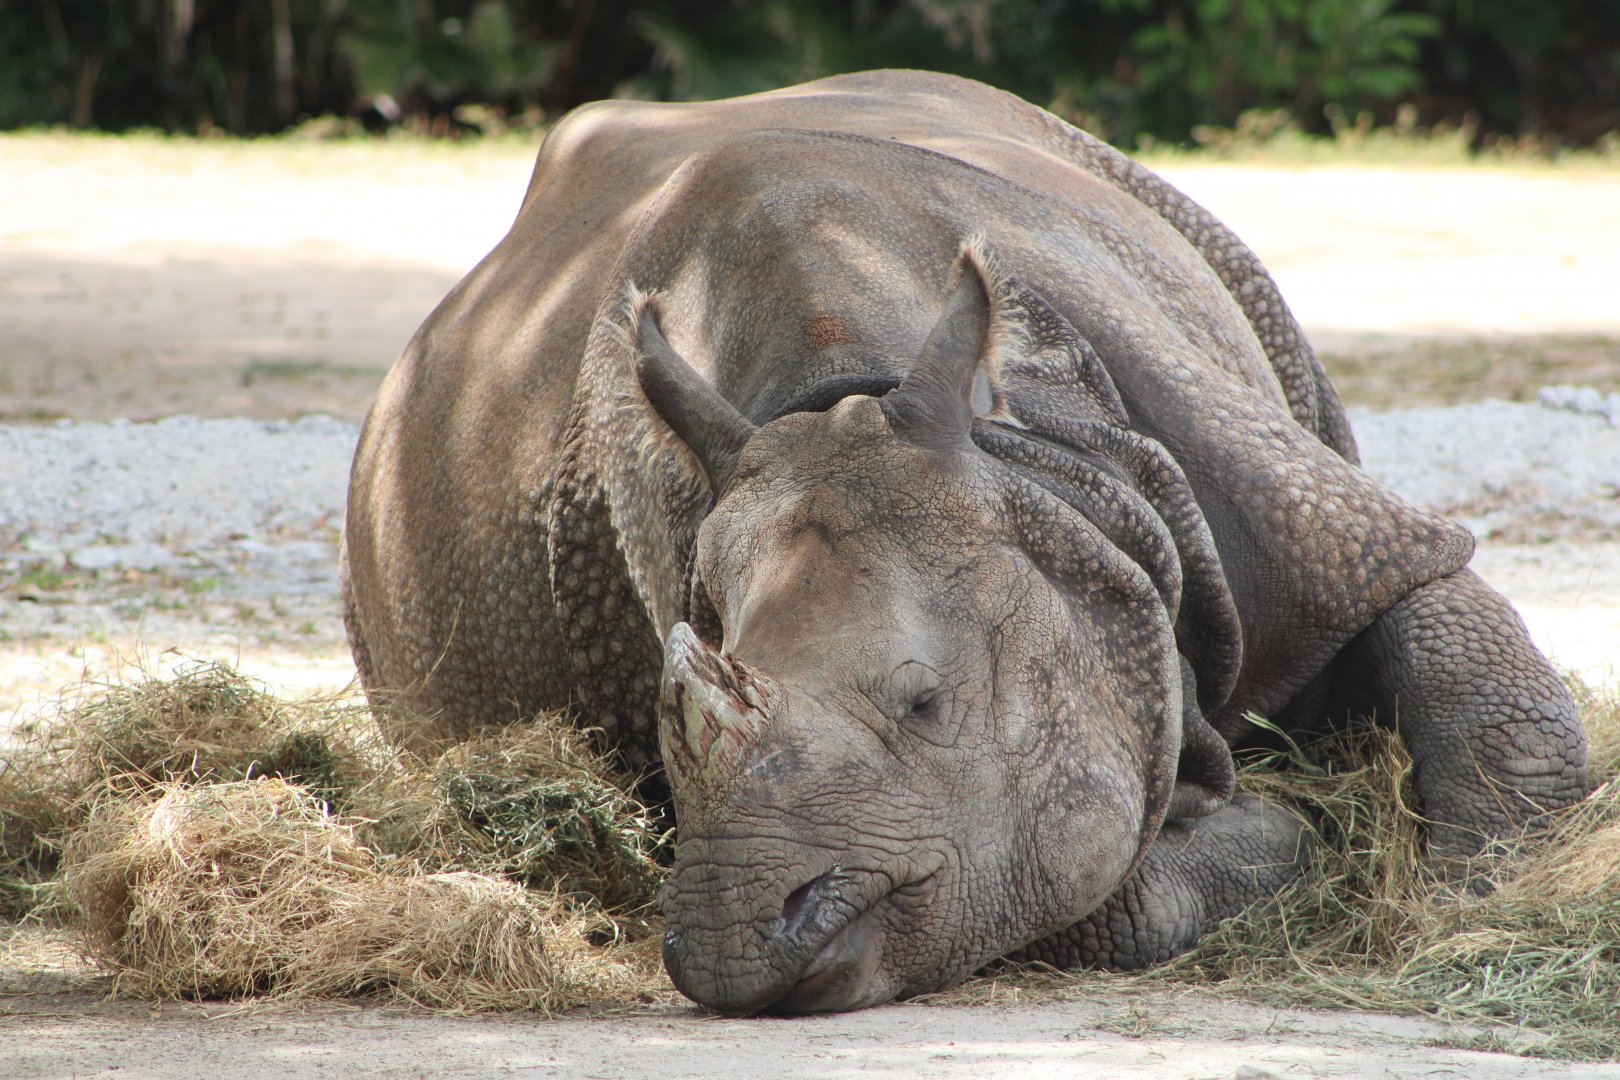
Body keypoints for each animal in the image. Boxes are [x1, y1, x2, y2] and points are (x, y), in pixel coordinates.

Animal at [341, 70, 1587, 1015]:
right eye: (663, 727)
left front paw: (1479, 910)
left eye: (926, 704)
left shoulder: (1296, 515)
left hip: (1161, 219)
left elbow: (1473, 664)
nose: (737, 943)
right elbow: (1104, 891)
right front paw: (1272, 829)